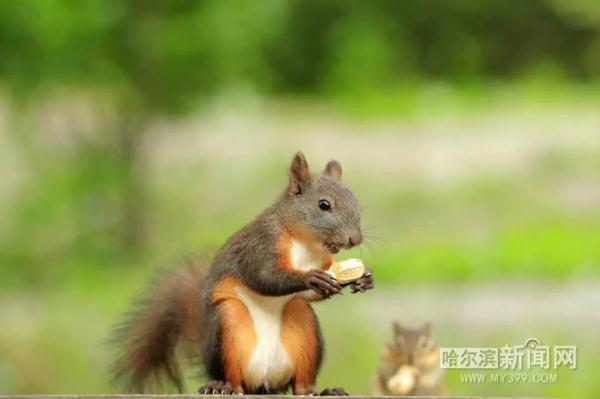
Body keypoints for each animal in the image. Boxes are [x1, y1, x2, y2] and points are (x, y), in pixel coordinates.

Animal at [112, 152, 372, 396]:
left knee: (299, 382)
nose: (355, 239)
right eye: (324, 204)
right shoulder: (261, 244)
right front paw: (311, 278)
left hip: (302, 324)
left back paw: (319, 391)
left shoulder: (323, 261)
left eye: (357, 204)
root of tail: (263, 382)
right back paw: (222, 387)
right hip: (228, 324)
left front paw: (364, 280)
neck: (306, 244)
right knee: (233, 377)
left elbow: (311, 292)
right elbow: (263, 276)